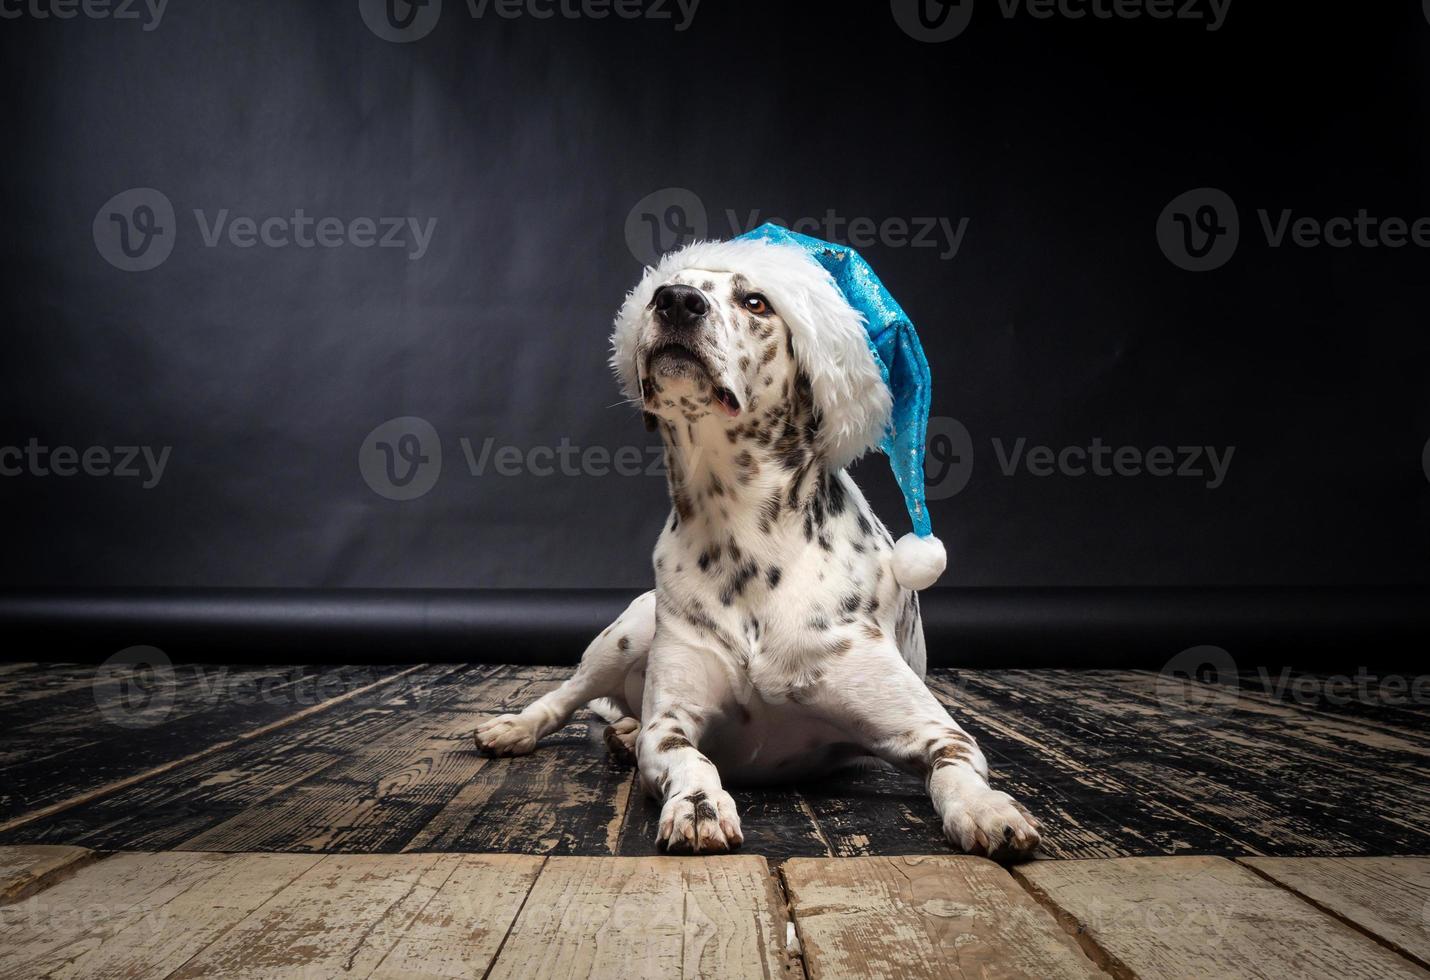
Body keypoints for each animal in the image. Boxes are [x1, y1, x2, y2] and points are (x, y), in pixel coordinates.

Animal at [474, 233, 1046, 858]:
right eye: (658, 290)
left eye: (756, 302)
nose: (676, 300)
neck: (741, 536)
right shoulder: (671, 723)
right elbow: (691, 759)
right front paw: (698, 806)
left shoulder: (935, 729)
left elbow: (956, 765)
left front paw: (986, 808)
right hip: (625, 635)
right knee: (568, 693)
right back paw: (520, 726)